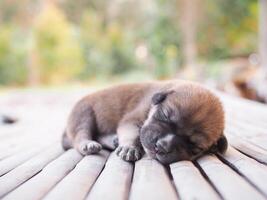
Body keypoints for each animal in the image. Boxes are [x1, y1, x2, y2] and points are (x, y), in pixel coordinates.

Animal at [62, 80, 228, 165]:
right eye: (165, 116)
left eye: (194, 146)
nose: (162, 146)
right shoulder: (132, 119)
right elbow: (132, 133)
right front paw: (129, 147)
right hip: (83, 114)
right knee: (80, 135)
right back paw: (88, 144)